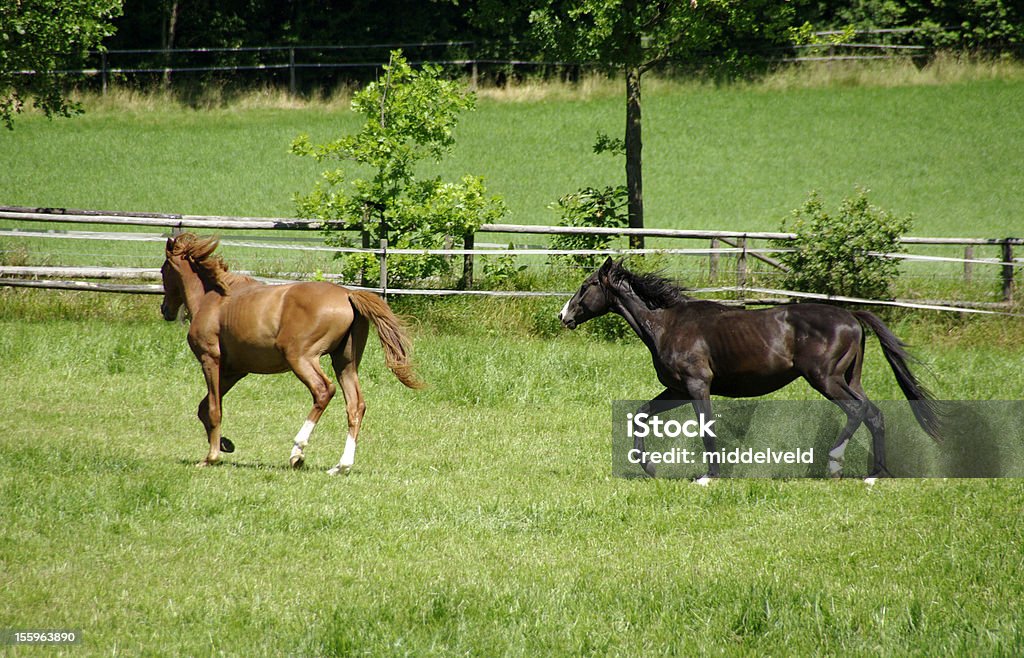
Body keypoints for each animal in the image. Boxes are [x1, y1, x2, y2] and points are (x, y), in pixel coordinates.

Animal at [156, 234, 419, 470]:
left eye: (163, 270)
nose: (165, 310)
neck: (212, 299)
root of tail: (347, 295)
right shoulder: (235, 371)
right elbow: (204, 407)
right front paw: (226, 444)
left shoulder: (210, 360)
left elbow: (212, 409)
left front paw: (211, 457)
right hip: (345, 362)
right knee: (356, 405)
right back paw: (341, 466)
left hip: (301, 358)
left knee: (324, 391)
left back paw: (297, 451)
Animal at [561, 258, 942, 483]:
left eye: (586, 286)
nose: (563, 315)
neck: (667, 325)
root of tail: (851, 315)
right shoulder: (677, 390)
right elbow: (641, 414)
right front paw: (650, 467)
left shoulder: (697, 386)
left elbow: (707, 429)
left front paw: (709, 476)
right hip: (849, 378)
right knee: (874, 414)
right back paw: (875, 475)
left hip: (825, 379)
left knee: (858, 410)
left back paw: (835, 462)